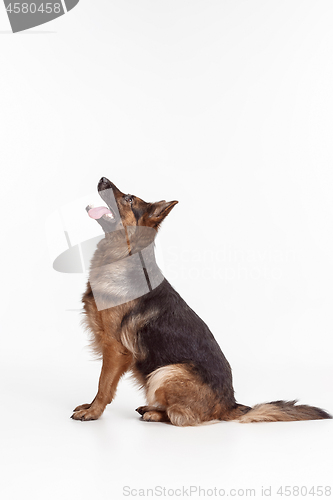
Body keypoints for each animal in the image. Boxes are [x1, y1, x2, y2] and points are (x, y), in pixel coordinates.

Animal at [70, 178, 330, 424]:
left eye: (129, 199)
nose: (103, 178)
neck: (126, 254)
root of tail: (229, 405)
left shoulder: (115, 350)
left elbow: (103, 385)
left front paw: (93, 412)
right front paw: (90, 407)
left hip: (165, 372)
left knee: (183, 417)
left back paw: (155, 413)